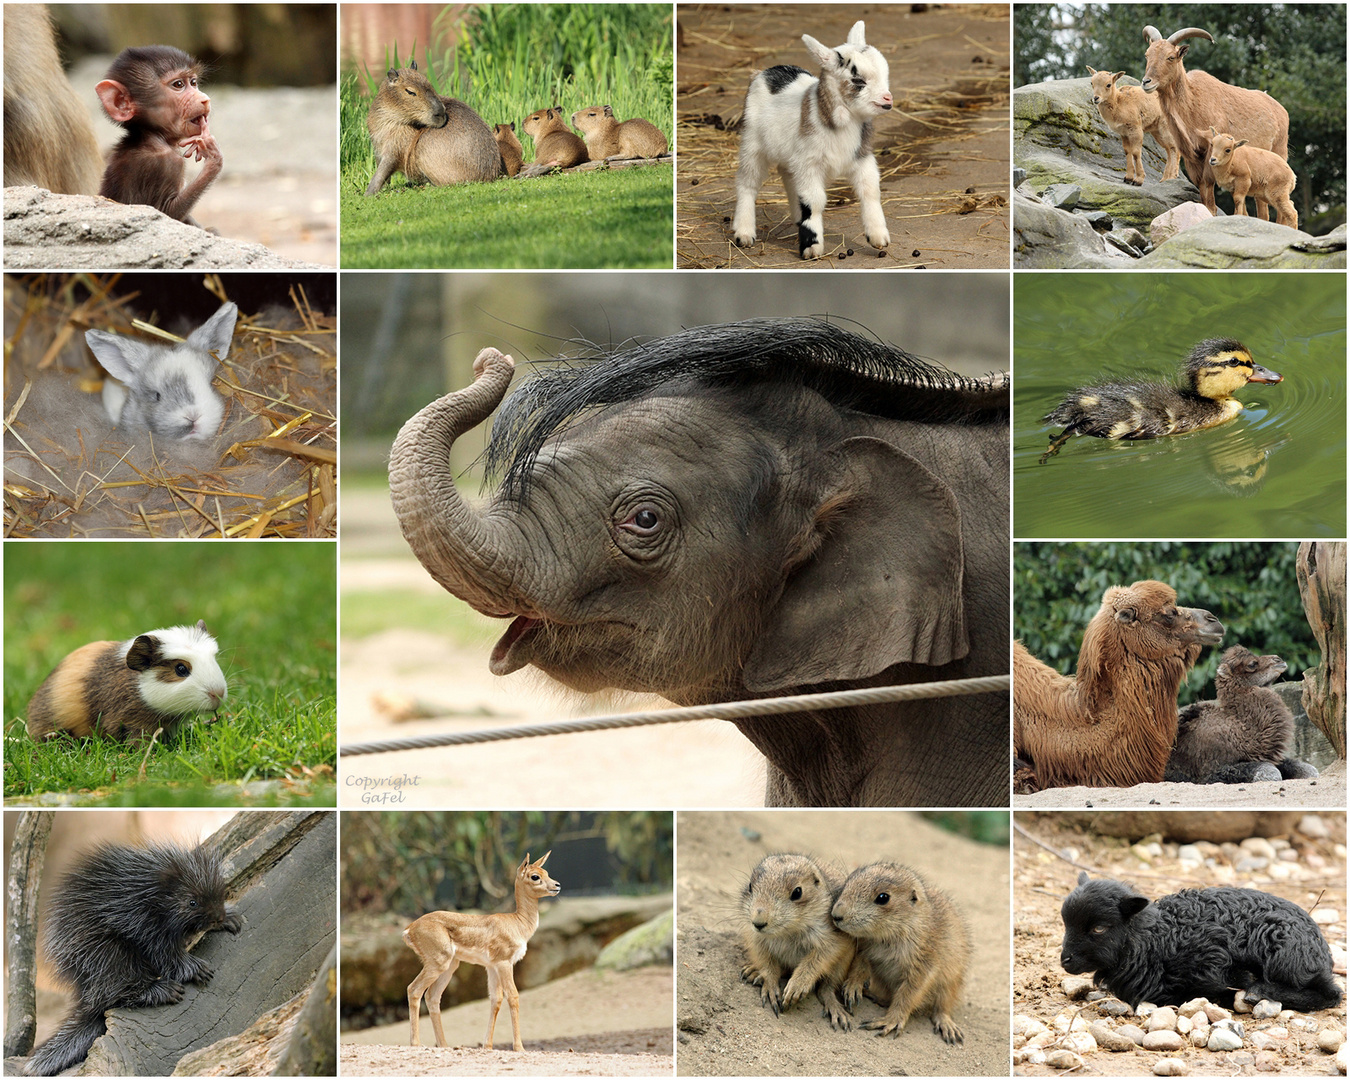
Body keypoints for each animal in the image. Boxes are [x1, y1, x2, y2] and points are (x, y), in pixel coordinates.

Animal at [405, 847, 564, 1053]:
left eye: (546, 872)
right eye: (535, 876)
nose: (557, 885)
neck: (518, 923)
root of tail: (410, 928)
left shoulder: (492, 967)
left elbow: (495, 999)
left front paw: (487, 1046)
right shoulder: (504, 963)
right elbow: (513, 996)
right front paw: (519, 1047)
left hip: (450, 966)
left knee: (432, 996)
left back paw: (445, 1045)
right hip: (438, 963)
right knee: (414, 989)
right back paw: (416, 1043)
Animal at [734, 21, 891, 259]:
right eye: (858, 80)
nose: (887, 99)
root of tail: (764, 72)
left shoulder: (861, 157)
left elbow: (870, 191)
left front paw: (878, 237)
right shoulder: (809, 164)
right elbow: (814, 201)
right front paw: (812, 246)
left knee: (786, 173)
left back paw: (797, 216)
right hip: (752, 143)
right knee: (747, 181)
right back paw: (744, 232)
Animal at [1063, 869, 1339, 1015]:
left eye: (1099, 928)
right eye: (1065, 922)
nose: (1065, 960)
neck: (1152, 939)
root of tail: (1322, 949)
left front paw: (1244, 982)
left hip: (1284, 958)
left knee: (1330, 994)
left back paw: (1257, 991)